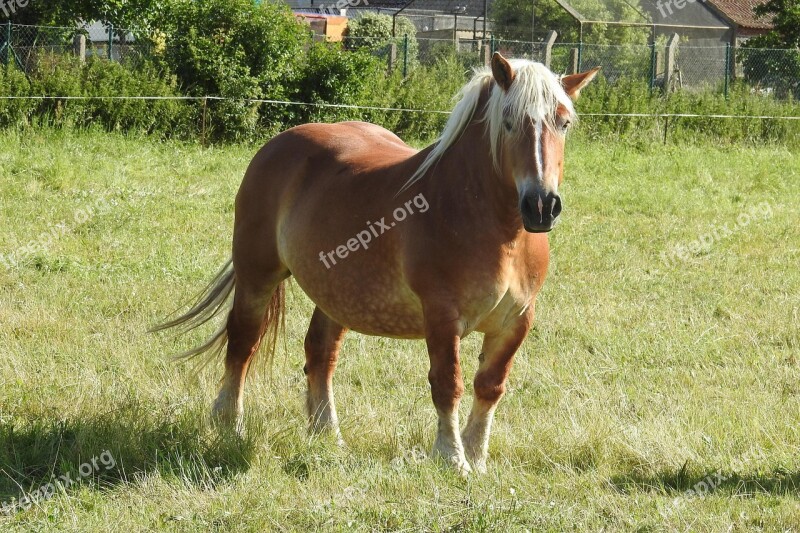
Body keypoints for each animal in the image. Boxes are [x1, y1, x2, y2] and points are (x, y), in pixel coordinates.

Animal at [153, 52, 596, 472]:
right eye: (508, 122)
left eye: (563, 123)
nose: (542, 206)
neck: (492, 224)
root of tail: (278, 143)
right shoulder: (441, 317)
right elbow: (447, 384)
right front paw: (451, 459)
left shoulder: (516, 320)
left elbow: (490, 386)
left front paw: (477, 457)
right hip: (257, 274)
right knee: (243, 342)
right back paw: (229, 423)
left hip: (336, 293)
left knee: (320, 354)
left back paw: (327, 435)